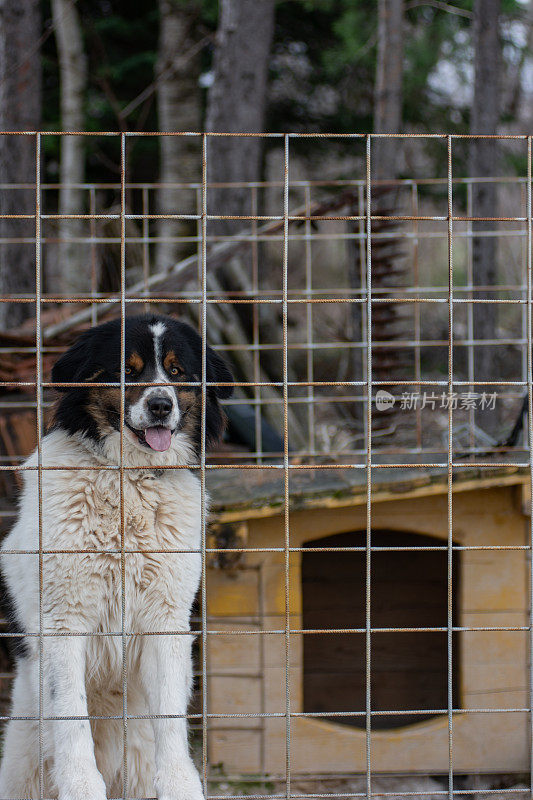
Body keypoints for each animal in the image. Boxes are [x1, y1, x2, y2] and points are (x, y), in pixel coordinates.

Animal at [0, 314, 233, 800]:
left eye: (177, 372)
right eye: (128, 371)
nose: (161, 405)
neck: (129, 479)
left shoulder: (165, 619)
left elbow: (171, 716)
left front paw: (181, 785)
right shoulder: (63, 622)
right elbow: (71, 716)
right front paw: (81, 786)